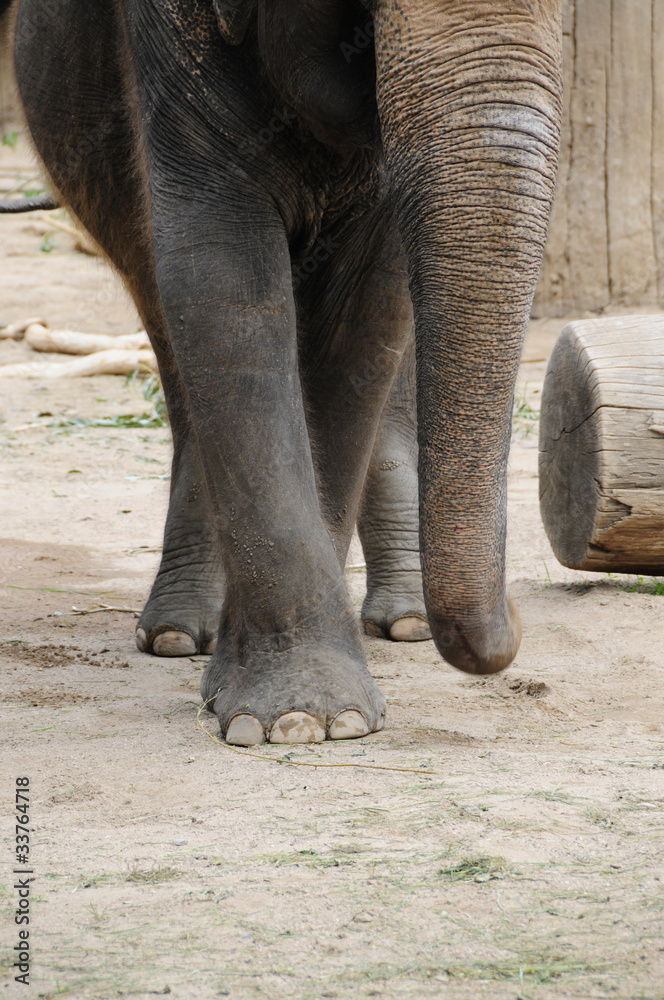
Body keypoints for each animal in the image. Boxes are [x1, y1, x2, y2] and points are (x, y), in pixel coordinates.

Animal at [7, 0, 563, 746]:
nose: (516, 621)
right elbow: (221, 271)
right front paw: (303, 718)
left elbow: (366, 308)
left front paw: (308, 710)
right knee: (162, 311)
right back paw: (180, 635)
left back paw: (407, 622)